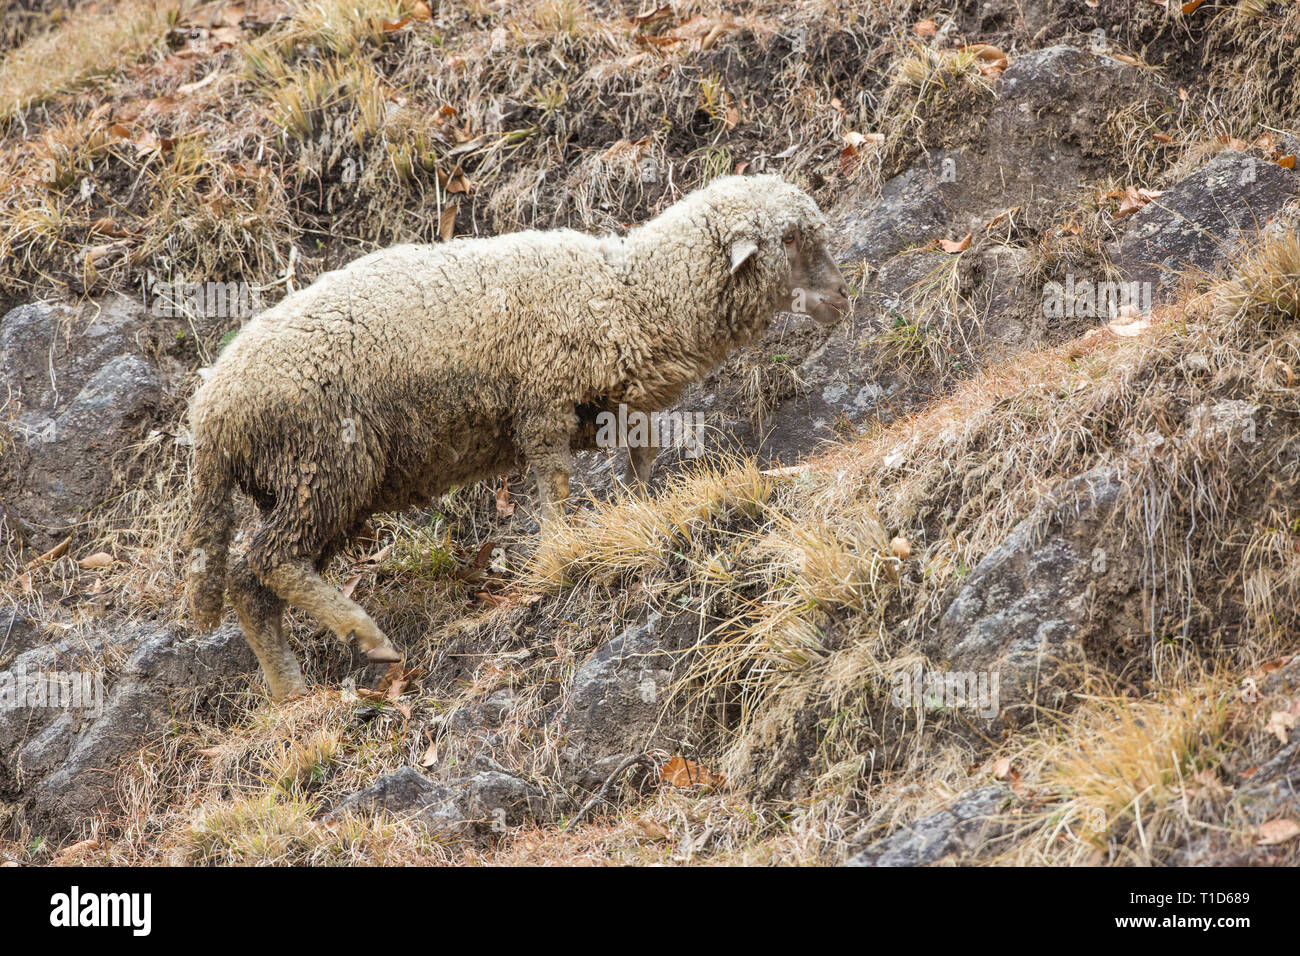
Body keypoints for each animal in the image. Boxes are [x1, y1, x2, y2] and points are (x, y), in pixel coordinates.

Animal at [185, 173, 849, 699]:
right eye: (791, 238)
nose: (842, 297)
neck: (628, 295)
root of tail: (209, 415)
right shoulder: (543, 404)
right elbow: (554, 486)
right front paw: (558, 553)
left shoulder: (614, 405)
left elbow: (641, 458)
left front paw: (640, 511)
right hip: (322, 463)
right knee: (270, 562)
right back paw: (366, 637)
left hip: (312, 487)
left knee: (252, 582)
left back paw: (290, 691)